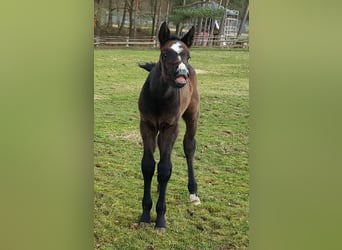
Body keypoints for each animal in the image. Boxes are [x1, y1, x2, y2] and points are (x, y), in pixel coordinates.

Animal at [137, 22, 200, 231]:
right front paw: (145, 216)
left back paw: (194, 193)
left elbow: (165, 169)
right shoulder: (147, 125)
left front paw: (160, 219)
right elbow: (148, 165)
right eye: (164, 54)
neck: (159, 98)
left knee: (189, 146)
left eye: (188, 55)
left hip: (192, 115)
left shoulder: (171, 127)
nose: (182, 76)